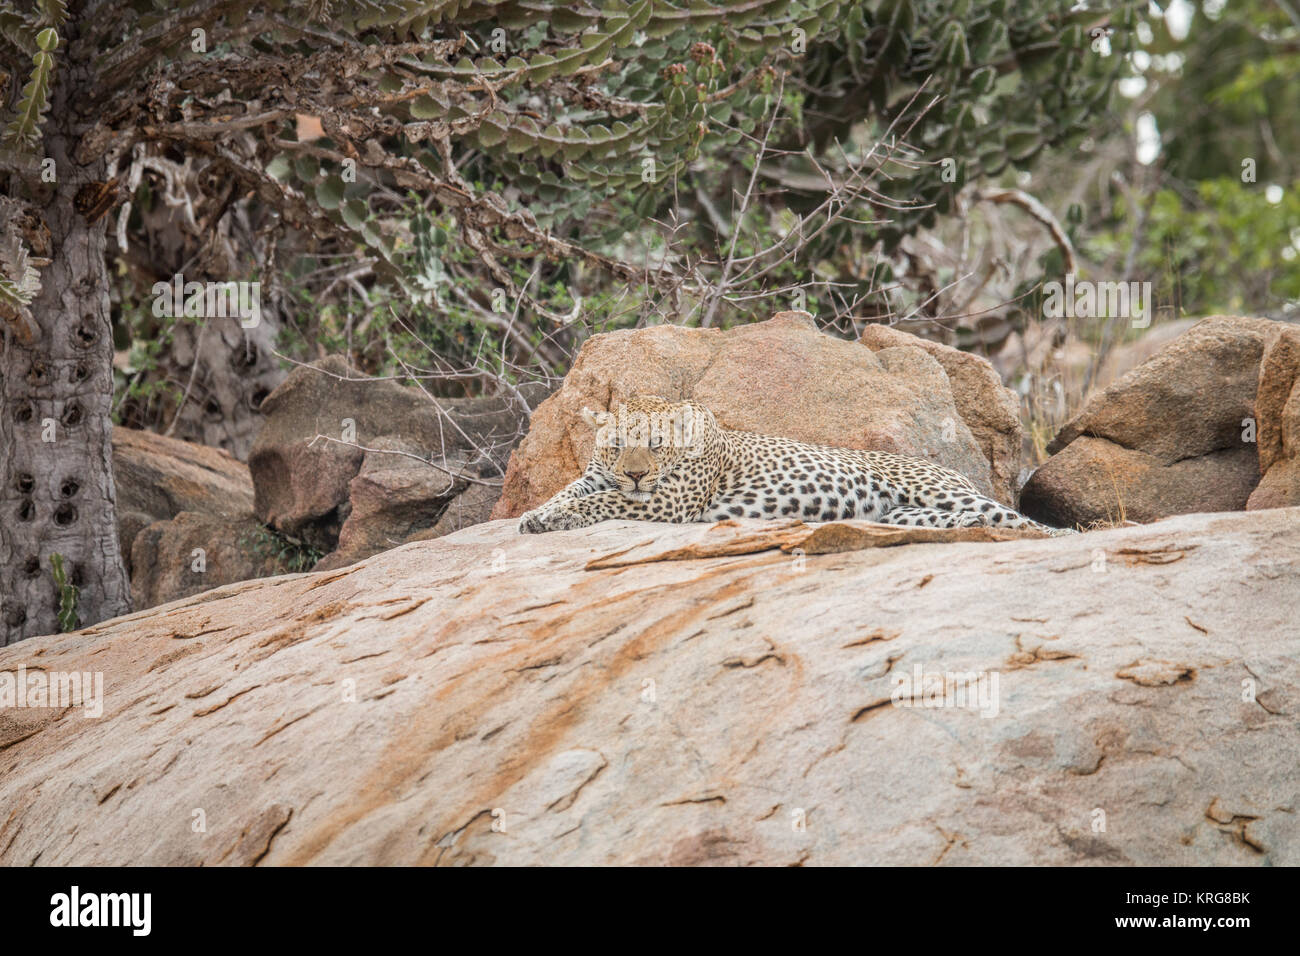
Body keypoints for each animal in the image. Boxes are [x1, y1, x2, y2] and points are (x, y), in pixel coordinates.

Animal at [517, 394, 1076, 536]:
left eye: (655, 446)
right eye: (616, 447)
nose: (635, 472)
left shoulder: (668, 502)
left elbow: (606, 502)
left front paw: (555, 517)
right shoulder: (595, 476)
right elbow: (572, 493)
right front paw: (537, 515)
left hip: (939, 490)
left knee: (1026, 521)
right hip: (902, 513)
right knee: (969, 518)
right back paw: (968, 526)